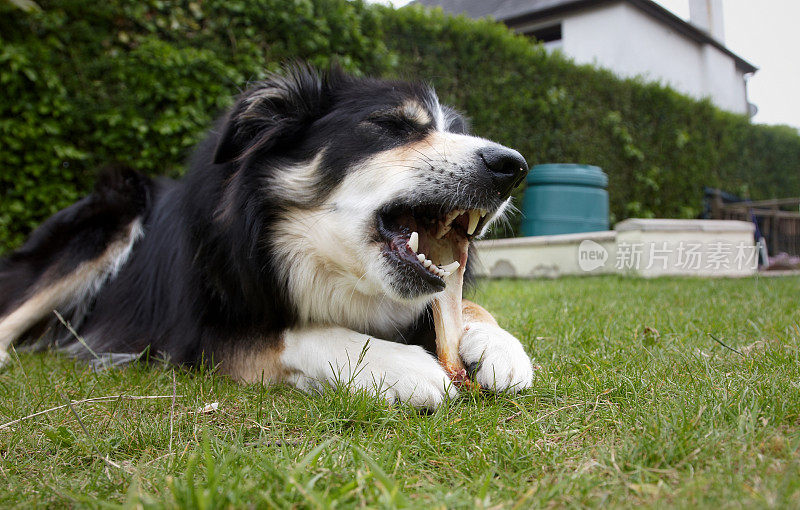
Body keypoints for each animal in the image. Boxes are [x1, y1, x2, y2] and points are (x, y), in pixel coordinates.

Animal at [1, 64, 536, 406]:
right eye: (392, 125)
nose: (512, 167)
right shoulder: (196, 336)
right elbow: (294, 331)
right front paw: (399, 364)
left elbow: (464, 304)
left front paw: (498, 344)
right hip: (115, 211)